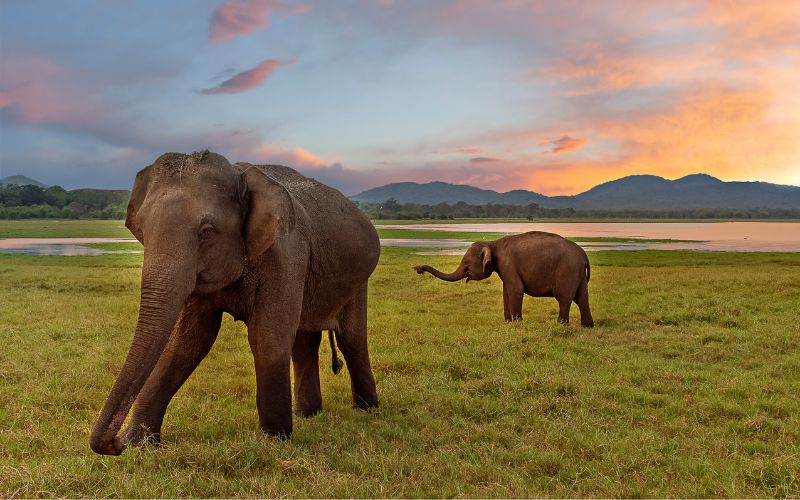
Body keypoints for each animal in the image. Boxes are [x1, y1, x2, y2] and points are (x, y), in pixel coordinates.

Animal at [91, 150, 382, 456]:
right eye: (142, 231)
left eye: (206, 232)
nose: (115, 443)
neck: (239, 174)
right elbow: (188, 343)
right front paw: (140, 444)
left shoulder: (286, 256)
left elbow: (267, 337)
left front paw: (273, 441)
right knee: (305, 342)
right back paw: (308, 415)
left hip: (358, 278)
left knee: (351, 338)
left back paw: (365, 410)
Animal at [416, 232, 592, 326]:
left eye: (466, 263)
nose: (419, 269)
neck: (492, 243)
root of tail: (583, 254)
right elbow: (506, 291)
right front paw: (508, 322)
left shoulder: (508, 264)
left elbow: (516, 290)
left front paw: (517, 323)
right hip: (579, 274)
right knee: (582, 297)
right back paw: (587, 326)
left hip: (567, 271)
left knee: (564, 298)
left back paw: (561, 324)